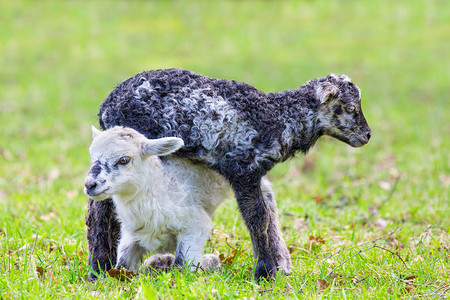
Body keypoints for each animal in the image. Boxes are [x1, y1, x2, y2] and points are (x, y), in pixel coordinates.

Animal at [84, 125, 227, 274]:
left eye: (124, 159)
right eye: (92, 156)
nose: (90, 185)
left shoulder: (194, 225)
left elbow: (181, 265)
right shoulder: (130, 233)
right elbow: (122, 265)